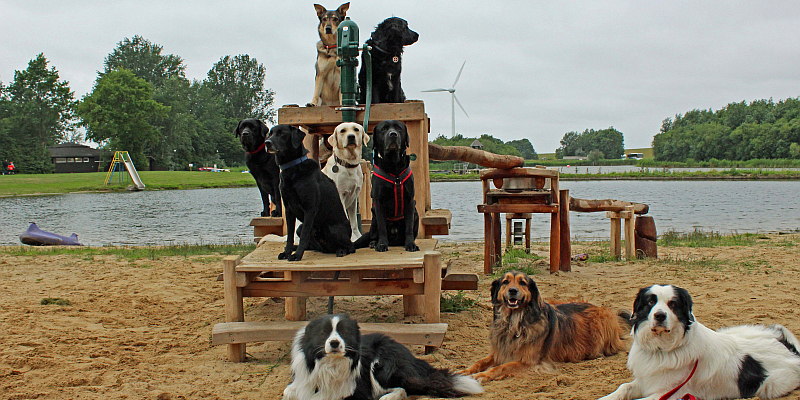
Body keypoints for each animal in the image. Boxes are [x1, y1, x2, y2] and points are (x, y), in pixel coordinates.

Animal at [264, 126, 352, 262]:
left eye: (282, 134)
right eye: (270, 133)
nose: (267, 143)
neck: (292, 169)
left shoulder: (310, 209)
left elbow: (305, 235)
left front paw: (297, 255)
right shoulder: (288, 209)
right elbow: (290, 236)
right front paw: (287, 252)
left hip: (332, 228)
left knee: (351, 247)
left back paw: (341, 250)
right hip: (300, 229)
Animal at [282, 316, 482, 400]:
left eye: (344, 333)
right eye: (323, 333)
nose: (334, 343)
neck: (329, 365)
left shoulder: (351, 392)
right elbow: (288, 392)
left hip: (380, 366)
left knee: (404, 389)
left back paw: (388, 397)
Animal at [354, 119, 418, 252]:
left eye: (399, 128)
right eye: (383, 129)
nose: (393, 134)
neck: (393, 166)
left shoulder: (410, 201)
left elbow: (409, 227)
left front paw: (410, 244)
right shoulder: (379, 201)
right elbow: (382, 226)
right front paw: (382, 244)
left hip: (416, 213)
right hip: (373, 218)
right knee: (373, 234)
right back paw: (374, 243)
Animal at [462, 270, 632, 382]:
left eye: (522, 283)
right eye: (505, 282)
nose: (513, 290)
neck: (515, 321)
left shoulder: (529, 362)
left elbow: (501, 367)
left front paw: (481, 375)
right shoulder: (499, 352)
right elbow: (479, 362)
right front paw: (465, 371)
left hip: (604, 317)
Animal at [600, 284, 800, 400]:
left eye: (673, 304)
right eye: (650, 302)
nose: (660, 316)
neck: (662, 349)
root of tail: (786, 345)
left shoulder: (669, 393)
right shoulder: (645, 381)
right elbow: (623, 388)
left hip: (770, 385)